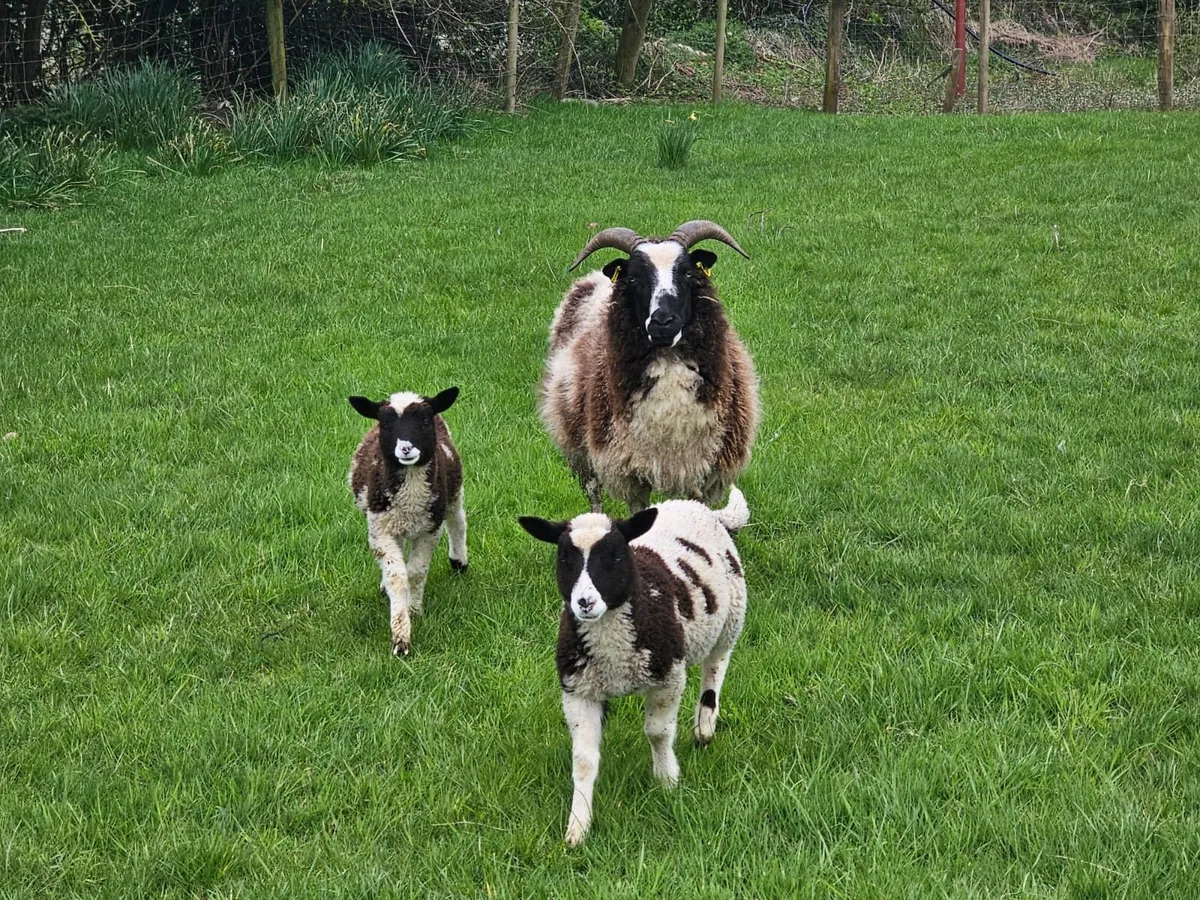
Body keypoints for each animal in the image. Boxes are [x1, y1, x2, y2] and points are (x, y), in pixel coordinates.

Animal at [348, 387, 467, 656]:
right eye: (385, 425)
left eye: (423, 421)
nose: (405, 448)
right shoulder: (380, 530)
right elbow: (398, 576)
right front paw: (400, 636)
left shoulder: (430, 529)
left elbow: (416, 572)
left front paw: (414, 609)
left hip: (452, 493)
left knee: (458, 521)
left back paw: (459, 561)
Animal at [518, 486, 750, 847]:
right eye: (564, 559)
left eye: (615, 556)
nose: (584, 603)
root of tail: (693, 505)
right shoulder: (578, 689)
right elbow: (583, 760)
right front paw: (577, 827)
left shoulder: (668, 677)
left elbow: (657, 733)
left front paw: (667, 781)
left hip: (732, 616)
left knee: (716, 665)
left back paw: (705, 725)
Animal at [540, 220, 760, 513]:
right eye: (634, 278)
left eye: (688, 273)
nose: (662, 322)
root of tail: (592, 277)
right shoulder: (630, 474)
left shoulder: (704, 473)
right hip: (576, 443)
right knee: (593, 493)